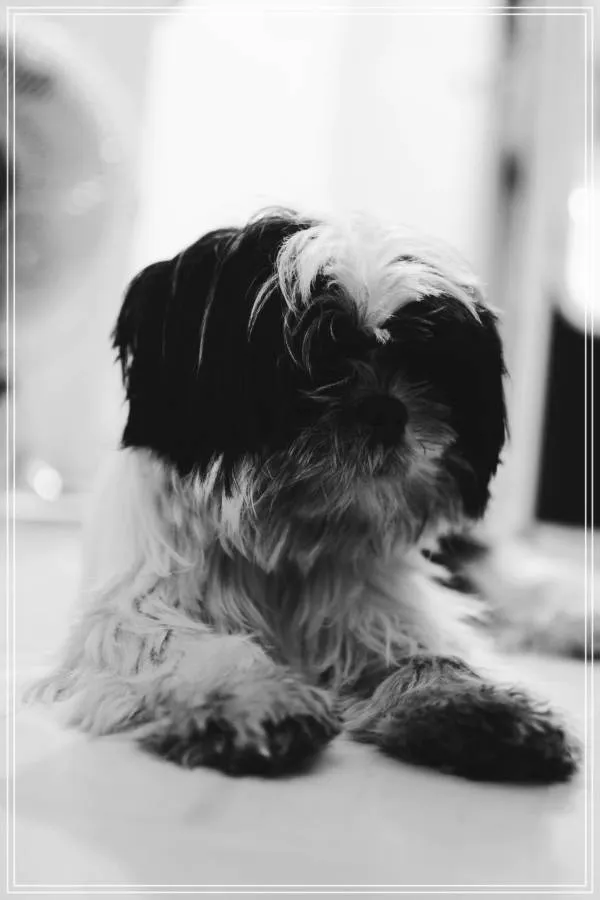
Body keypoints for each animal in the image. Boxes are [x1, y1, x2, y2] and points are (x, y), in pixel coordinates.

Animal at [31, 209, 580, 783]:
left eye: (426, 364)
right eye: (311, 359)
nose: (386, 409)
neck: (290, 538)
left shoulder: (378, 606)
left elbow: (424, 650)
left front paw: (475, 707)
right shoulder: (133, 610)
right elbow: (188, 644)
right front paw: (252, 698)